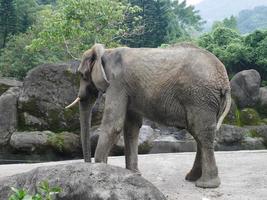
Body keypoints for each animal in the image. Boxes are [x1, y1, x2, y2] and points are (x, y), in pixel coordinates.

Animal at [66, 43, 231, 188]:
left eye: (82, 75)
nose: (88, 166)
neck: (107, 52)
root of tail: (225, 81)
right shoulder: (128, 89)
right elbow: (131, 127)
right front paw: (133, 175)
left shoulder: (117, 83)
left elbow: (114, 124)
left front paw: (102, 171)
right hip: (206, 100)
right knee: (199, 134)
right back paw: (192, 178)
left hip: (200, 98)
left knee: (201, 133)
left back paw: (206, 185)